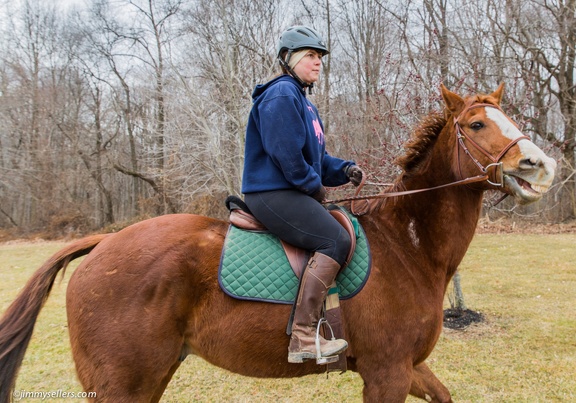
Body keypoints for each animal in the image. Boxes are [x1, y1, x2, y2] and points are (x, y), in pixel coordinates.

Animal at [1, 83, 560, 402]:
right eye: (477, 124)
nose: (541, 166)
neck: (408, 247)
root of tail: (103, 245)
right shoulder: (386, 373)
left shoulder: (408, 368)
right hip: (123, 385)